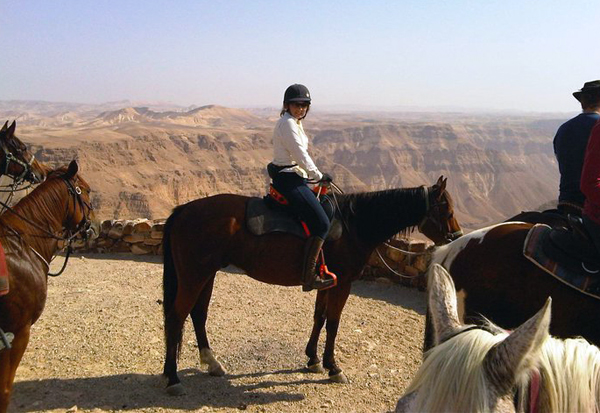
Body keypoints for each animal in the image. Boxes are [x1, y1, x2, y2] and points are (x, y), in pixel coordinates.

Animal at [162, 175, 462, 394]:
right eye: (446, 209)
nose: (456, 236)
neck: (356, 224)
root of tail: (184, 210)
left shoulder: (326, 282)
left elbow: (319, 317)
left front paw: (313, 360)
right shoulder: (342, 284)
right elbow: (333, 322)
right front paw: (333, 366)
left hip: (207, 273)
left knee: (198, 314)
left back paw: (211, 362)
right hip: (194, 274)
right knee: (177, 315)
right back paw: (173, 378)